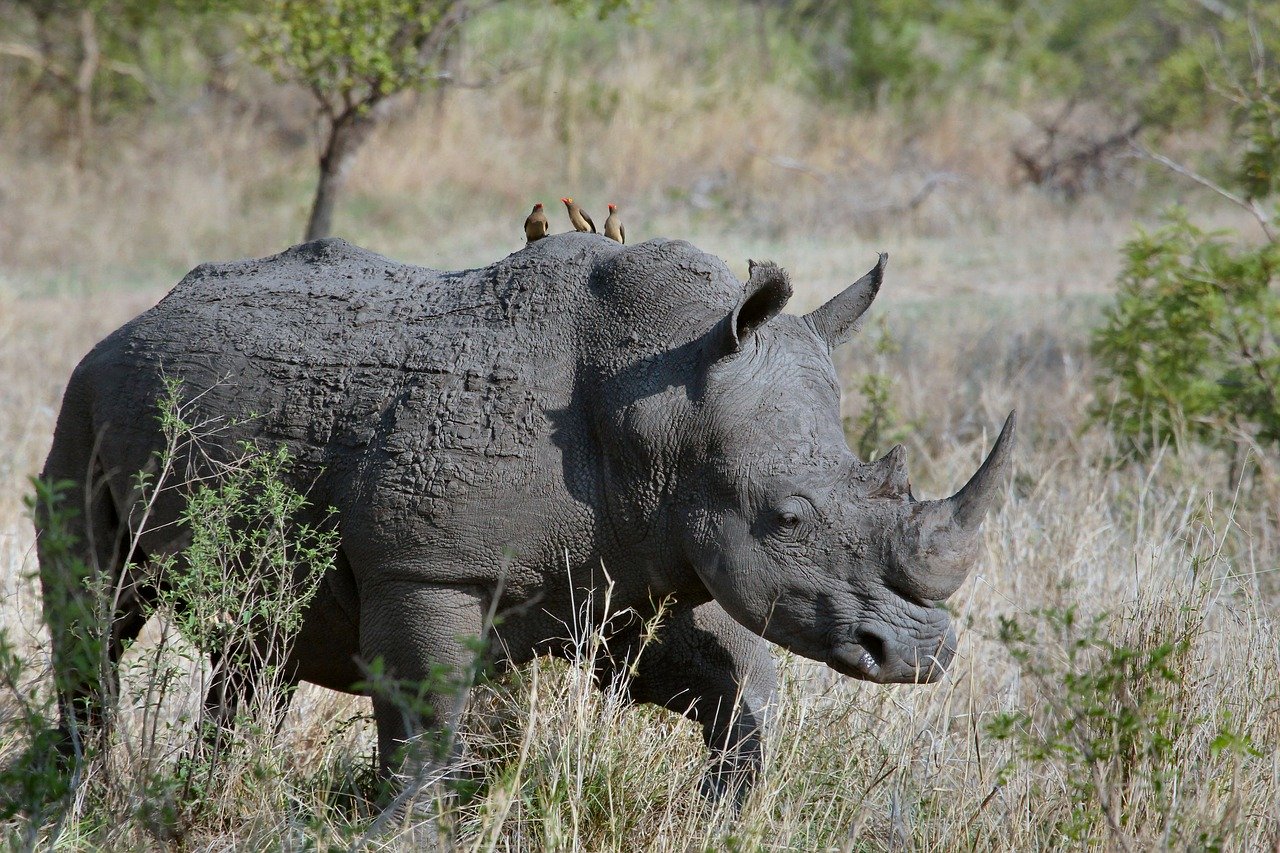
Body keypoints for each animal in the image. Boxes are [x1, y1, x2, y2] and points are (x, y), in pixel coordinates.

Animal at [37, 233, 1014, 802]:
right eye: (787, 516)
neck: (661, 403)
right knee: (96, 608)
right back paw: (78, 800)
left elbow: (736, 686)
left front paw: (718, 812)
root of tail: (139, 316)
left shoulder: (630, 563)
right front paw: (405, 827)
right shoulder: (427, 567)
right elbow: (427, 723)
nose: (923, 655)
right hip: (83, 394)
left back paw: (200, 798)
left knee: (258, 643)